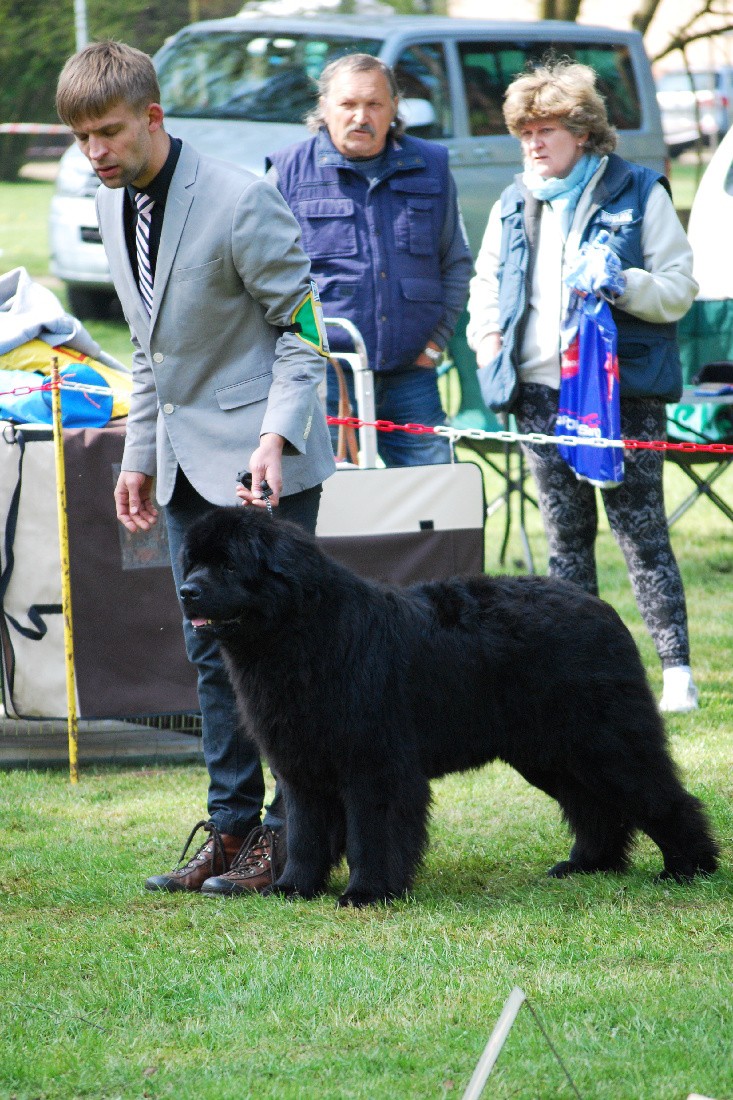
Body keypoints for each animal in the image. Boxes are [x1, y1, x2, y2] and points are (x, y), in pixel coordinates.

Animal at [179, 507, 719, 907]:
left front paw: (367, 893)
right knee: (595, 805)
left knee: (661, 796)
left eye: (229, 565)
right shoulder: (303, 767)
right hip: (551, 753)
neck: (303, 634)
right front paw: (293, 887)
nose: (185, 591)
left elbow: (371, 833)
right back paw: (587, 864)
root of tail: (600, 607)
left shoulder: (374, 766)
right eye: (193, 564)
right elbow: (305, 834)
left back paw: (689, 868)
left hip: (606, 741)